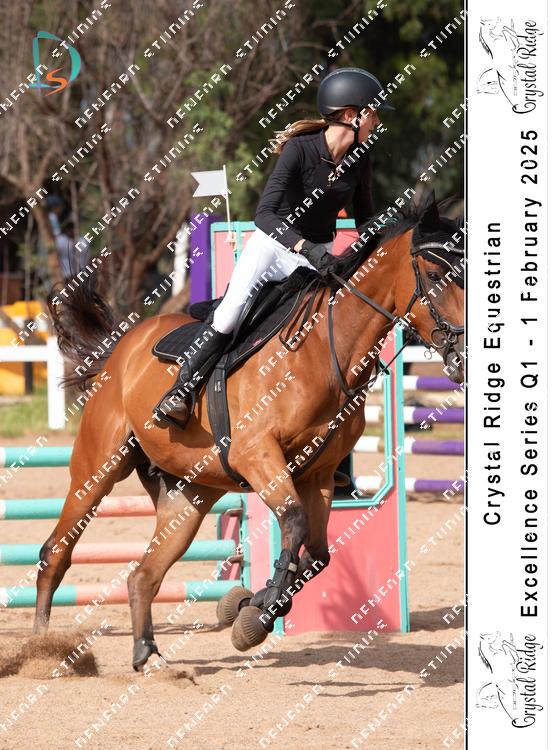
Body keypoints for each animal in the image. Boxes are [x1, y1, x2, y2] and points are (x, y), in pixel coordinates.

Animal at [35, 195, 464, 670]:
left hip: (188, 495)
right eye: (435, 275)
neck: (323, 350)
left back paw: (147, 654)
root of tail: (121, 347)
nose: (463, 354)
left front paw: (252, 603)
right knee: (56, 553)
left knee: (143, 575)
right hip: (97, 470)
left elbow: (317, 553)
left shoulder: (318, 473)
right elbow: (294, 523)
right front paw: (258, 614)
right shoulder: (257, 455)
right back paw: (39, 650)